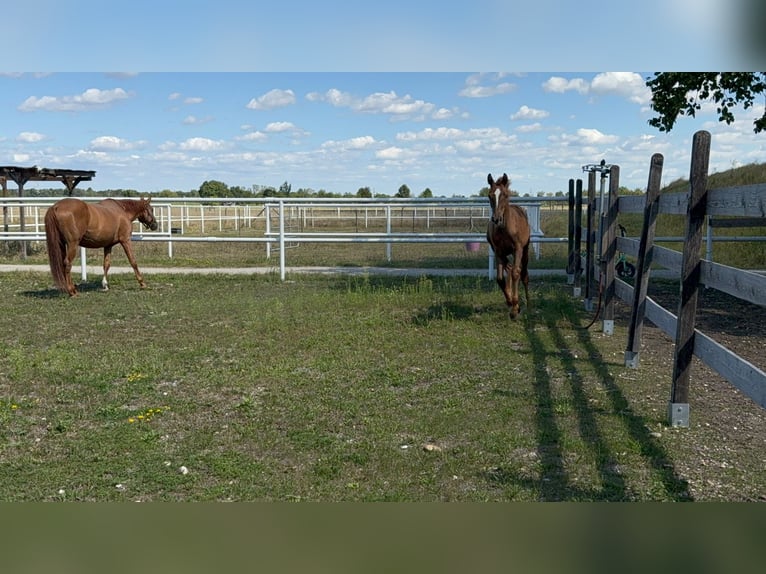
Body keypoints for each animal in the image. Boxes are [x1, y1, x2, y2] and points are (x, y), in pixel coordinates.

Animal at [486, 173, 531, 319]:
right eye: (490, 195)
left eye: (505, 195)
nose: (496, 219)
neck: (503, 228)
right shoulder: (498, 251)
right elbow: (500, 279)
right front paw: (511, 302)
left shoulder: (518, 249)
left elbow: (517, 273)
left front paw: (515, 308)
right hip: (503, 253)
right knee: (509, 268)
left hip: (525, 250)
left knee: (523, 273)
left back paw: (528, 304)